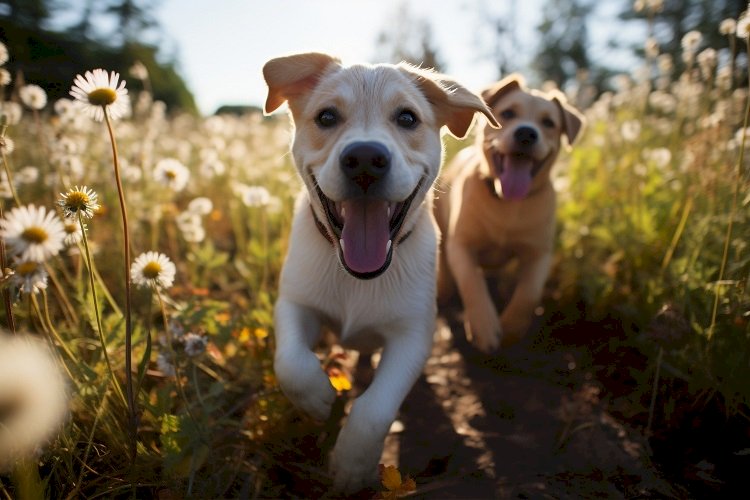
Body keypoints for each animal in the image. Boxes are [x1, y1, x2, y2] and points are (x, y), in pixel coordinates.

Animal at [264, 52, 500, 490]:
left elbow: (375, 407)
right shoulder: (294, 303)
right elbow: (291, 362)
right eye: (326, 117)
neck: (356, 277)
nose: (364, 159)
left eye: (407, 118)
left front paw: (352, 467)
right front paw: (319, 399)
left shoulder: (413, 336)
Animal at [434, 74, 588, 354]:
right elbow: (472, 282)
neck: (506, 203)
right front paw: (484, 326)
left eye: (548, 123)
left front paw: (512, 328)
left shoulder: (540, 253)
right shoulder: (461, 245)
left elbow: (529, 293)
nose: (526, 132)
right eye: (507, 113)